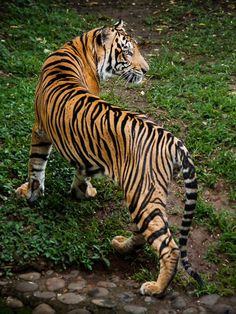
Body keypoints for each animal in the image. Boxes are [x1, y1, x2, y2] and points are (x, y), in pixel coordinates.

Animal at [16, 20, 203, 296]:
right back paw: (121, 246)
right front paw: (66, 192)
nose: (146, 70)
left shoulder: (40, 129)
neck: (79, 46)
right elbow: (55, 167)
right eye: (127, 52)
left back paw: (156, 288)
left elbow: (37, 164)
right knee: (147, 232)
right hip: (144, 195)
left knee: (168, 246)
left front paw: (37, 193)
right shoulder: (48, 132)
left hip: (143, 193)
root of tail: (172, 140)